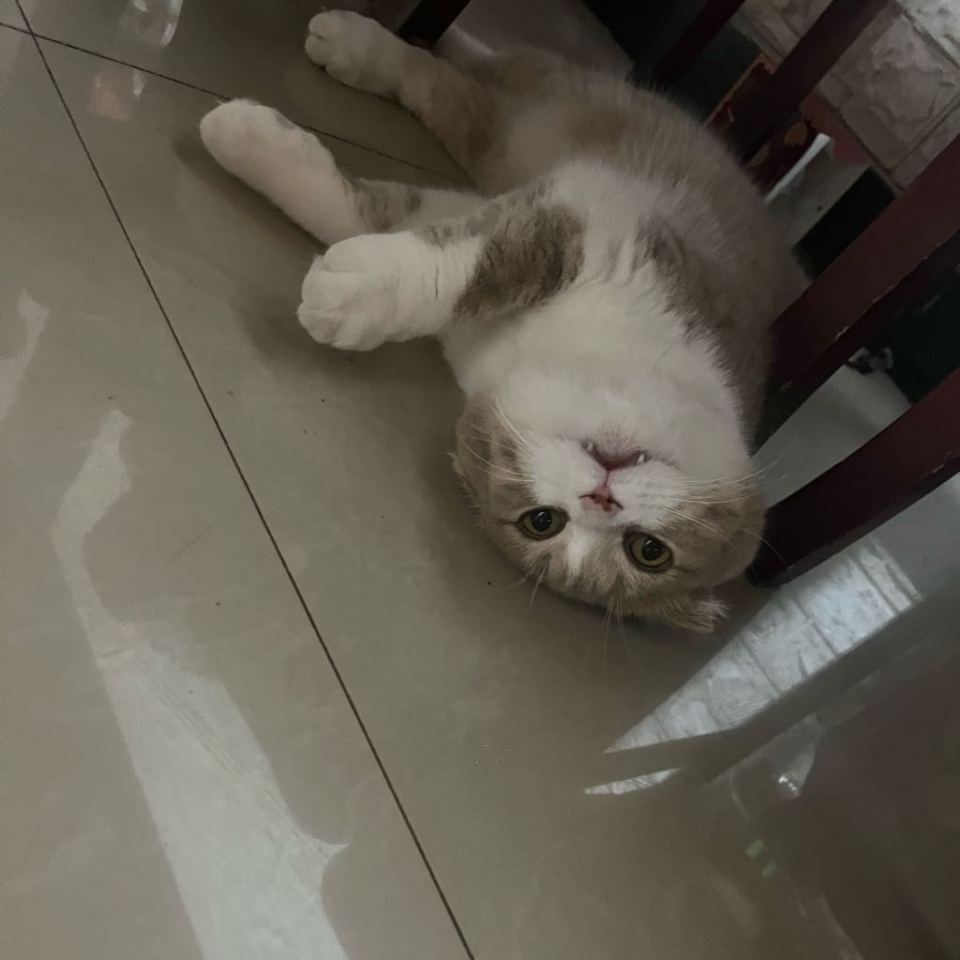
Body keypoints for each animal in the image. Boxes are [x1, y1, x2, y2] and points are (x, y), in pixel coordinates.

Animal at [199, 10, 803, 632]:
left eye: (647, 551)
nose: (602, 498)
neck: (574, 358)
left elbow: (360, 213)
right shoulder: (600, 228)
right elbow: (474, 264)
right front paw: (354, 288)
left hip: (498, 137)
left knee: (460, 93)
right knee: (460, 67)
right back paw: (352, 42)